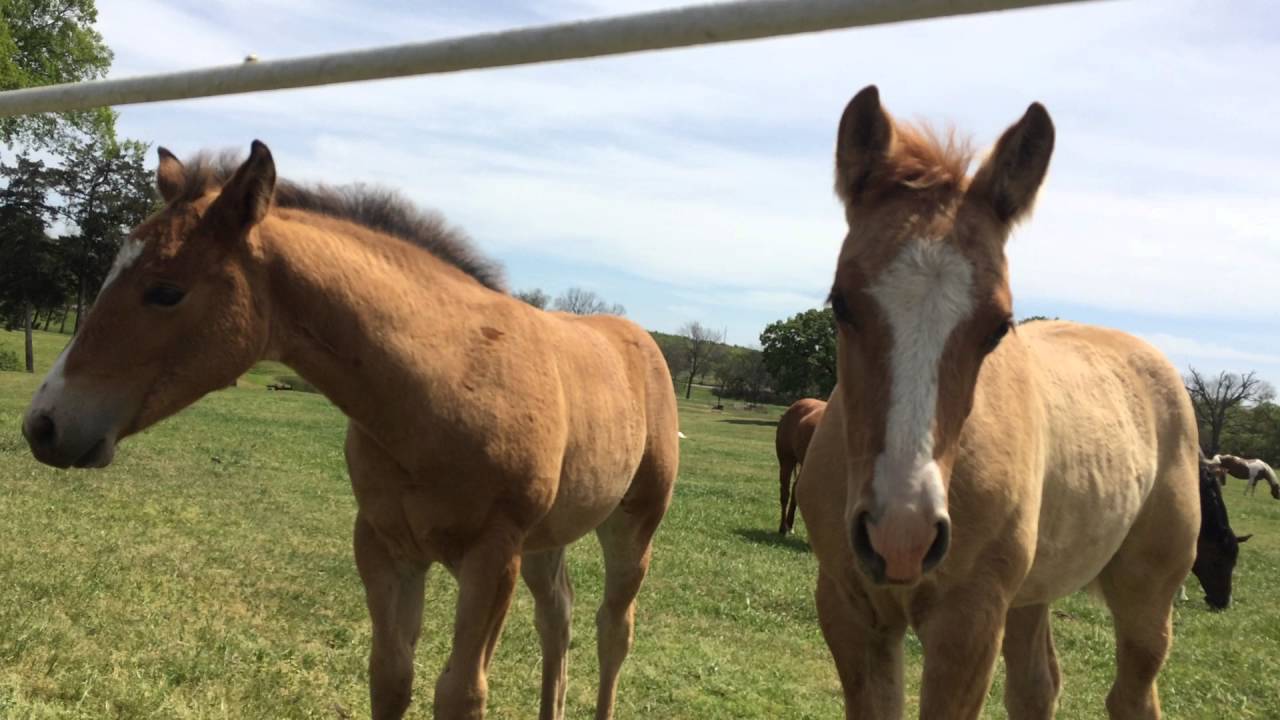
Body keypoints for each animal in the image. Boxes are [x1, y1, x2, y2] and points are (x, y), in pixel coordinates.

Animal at [21, 143, 679, 720]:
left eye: (165, 291)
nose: (43, 424)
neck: (446, 387)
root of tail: (640, 339)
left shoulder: (493, 556)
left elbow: (461, 694)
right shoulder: (386, 546)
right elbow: (390, 678)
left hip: (633, 525)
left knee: (612, 630)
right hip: (549, 537)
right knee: (557, 620)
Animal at [796, 86, 1199, 719]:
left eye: (998, 326)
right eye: (840, 302)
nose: (902, 534)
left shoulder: (969, 624)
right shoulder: (850, 611)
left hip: (1146, 599)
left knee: (1132, 694)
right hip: (1032, 594)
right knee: (1037, 685)